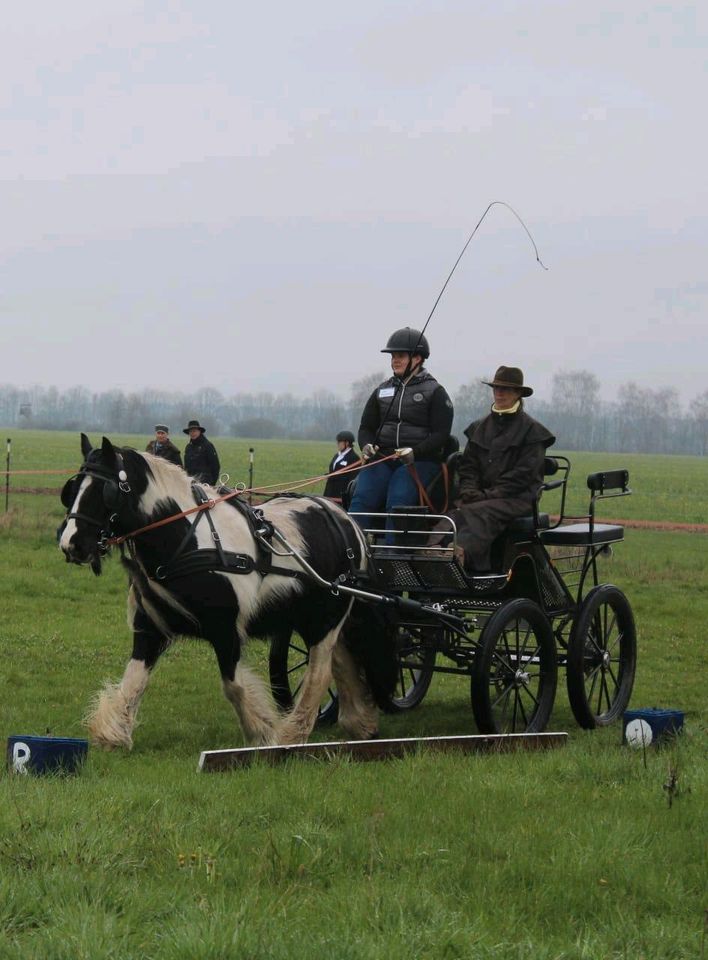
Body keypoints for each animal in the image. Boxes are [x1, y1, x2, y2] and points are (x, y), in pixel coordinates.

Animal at [58, 436, 396, 752]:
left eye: (104, 491)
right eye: (72, 489)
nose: (70, 544)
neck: (187, 541)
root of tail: (346, 519)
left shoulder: (226, 631)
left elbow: (234, 687)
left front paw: (263, 734)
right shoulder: (150, 628)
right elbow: (133, 682)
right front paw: (113, 735)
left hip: (325, 620)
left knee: (320, 673)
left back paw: (295, 735)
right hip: (317, 620)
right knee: (343, 662)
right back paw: (359, 723)